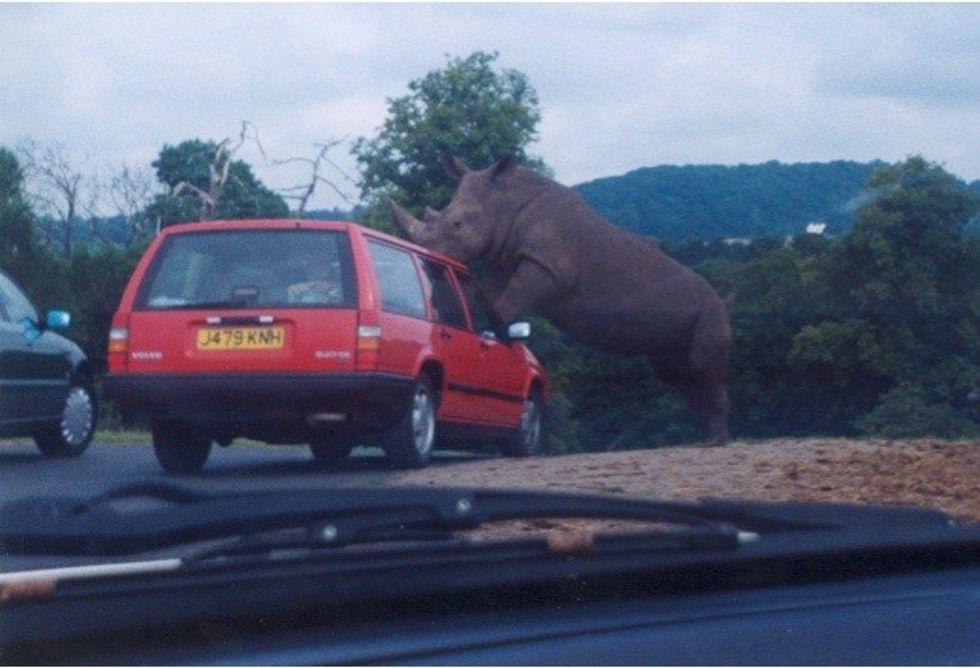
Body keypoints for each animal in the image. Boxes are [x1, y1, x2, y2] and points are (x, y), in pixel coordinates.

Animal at [391, 155, 732, 446]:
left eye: (458, 224)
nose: (426, 256)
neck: (505, 199)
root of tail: (723, 298)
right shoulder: (504, 261)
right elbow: (492, 300)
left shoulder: (547, 267)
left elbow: (506, 305)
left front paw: (488, 339)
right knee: (678, 373)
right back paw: (706, 440)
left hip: (711, 309)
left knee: (700, 365)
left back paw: (716, 442)